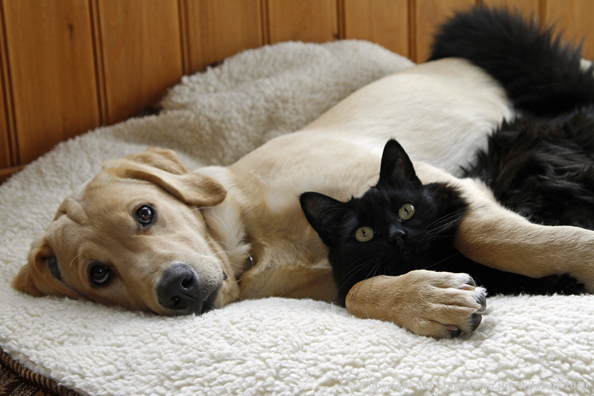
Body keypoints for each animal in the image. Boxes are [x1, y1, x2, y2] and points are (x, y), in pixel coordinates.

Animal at [13, 59, 594, 338]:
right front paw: (428, 300)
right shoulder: (333, 282)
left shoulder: (444, 188)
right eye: (99, 275)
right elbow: (360, 293)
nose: (176, 289)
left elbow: (501, 239)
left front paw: (581, 254)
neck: (254, 238)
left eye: (145, 213)